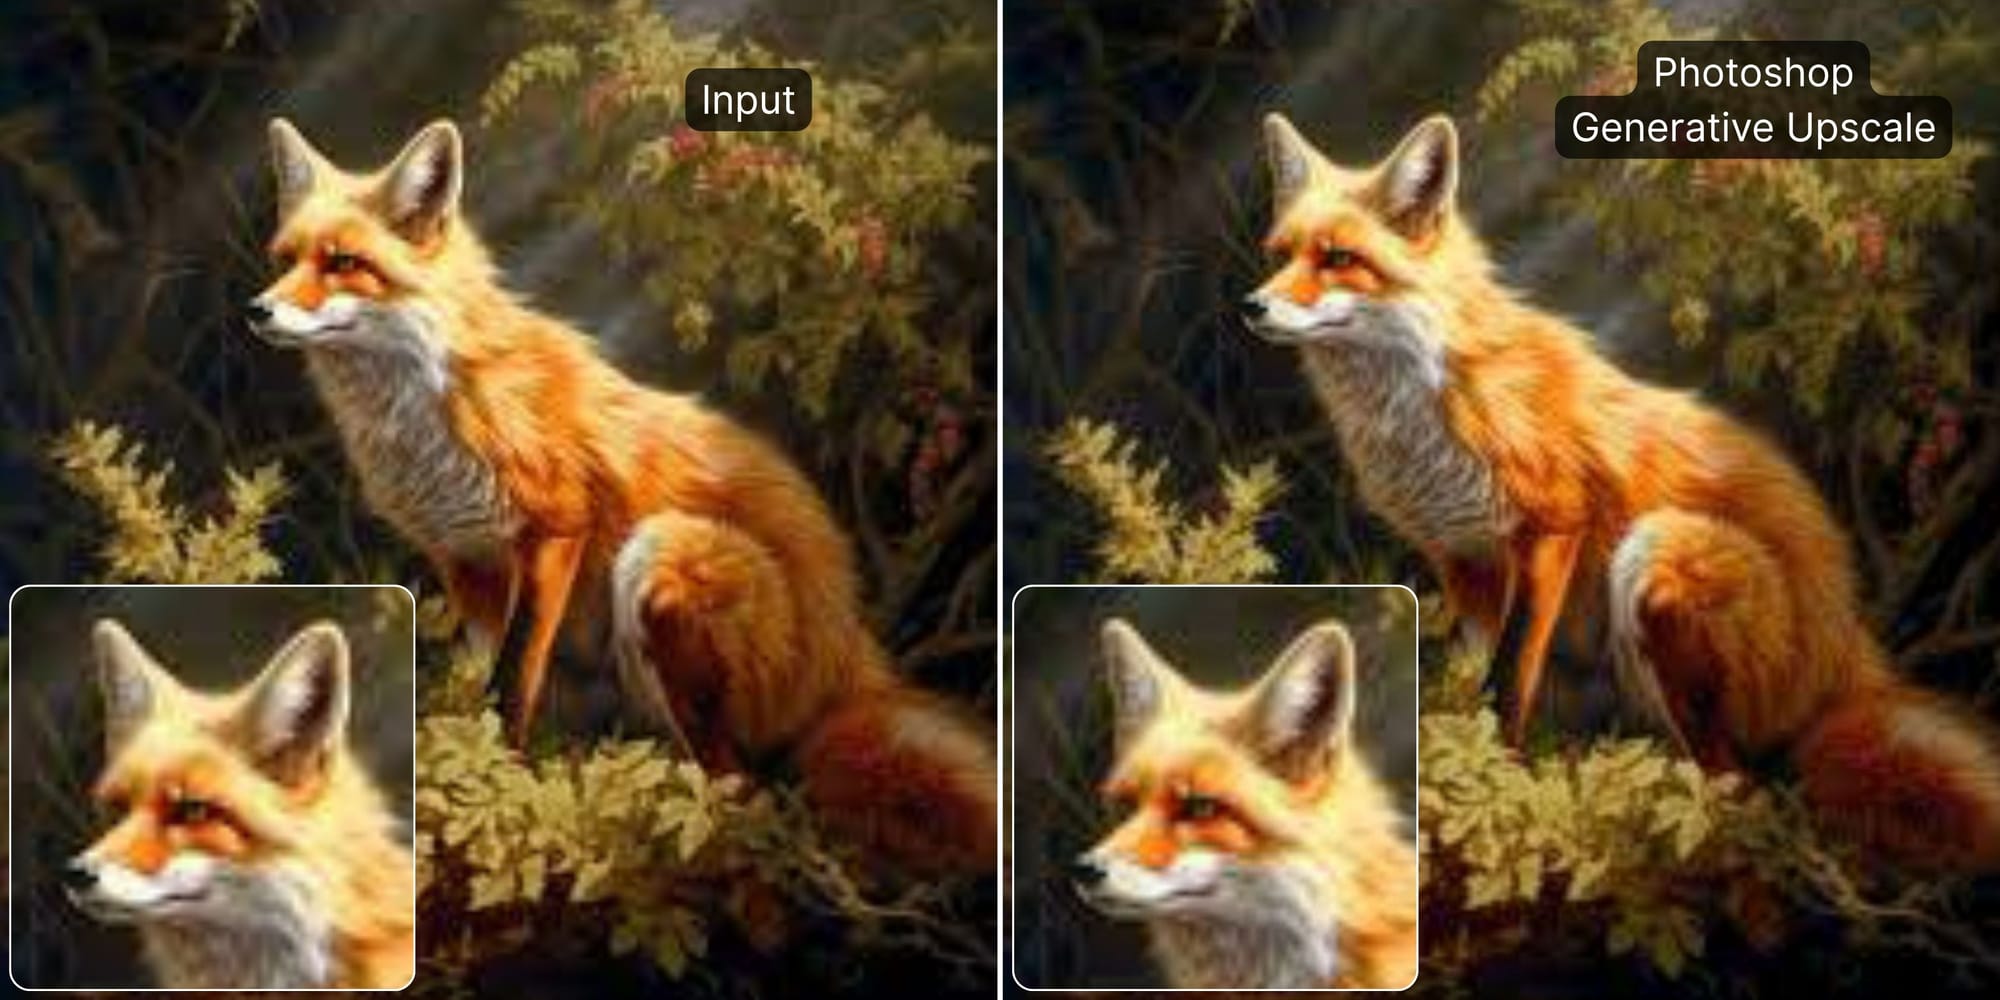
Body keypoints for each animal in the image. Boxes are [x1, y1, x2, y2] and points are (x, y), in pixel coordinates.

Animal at [244, 117, 996, 875]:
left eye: (342, 262)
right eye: (284, 258)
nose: (256, 309)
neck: (428, 410)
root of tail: (849, 639)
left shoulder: (554, 528)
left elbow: (512, 682)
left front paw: (499, 783)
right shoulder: (463, 560)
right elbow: (493, 679)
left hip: (660, 557)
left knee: (743, 786)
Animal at [1242, 110, 2000, 870]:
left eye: (1338, 258)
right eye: (1279, 254)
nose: (1252, 306)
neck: (1423, 407)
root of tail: (1848, 638)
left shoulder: (1550, 525)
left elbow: (1508, 682)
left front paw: (1495, 784)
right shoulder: (1459, 559)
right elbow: (1487, 677)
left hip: (1656, 554)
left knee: (1740, 782)